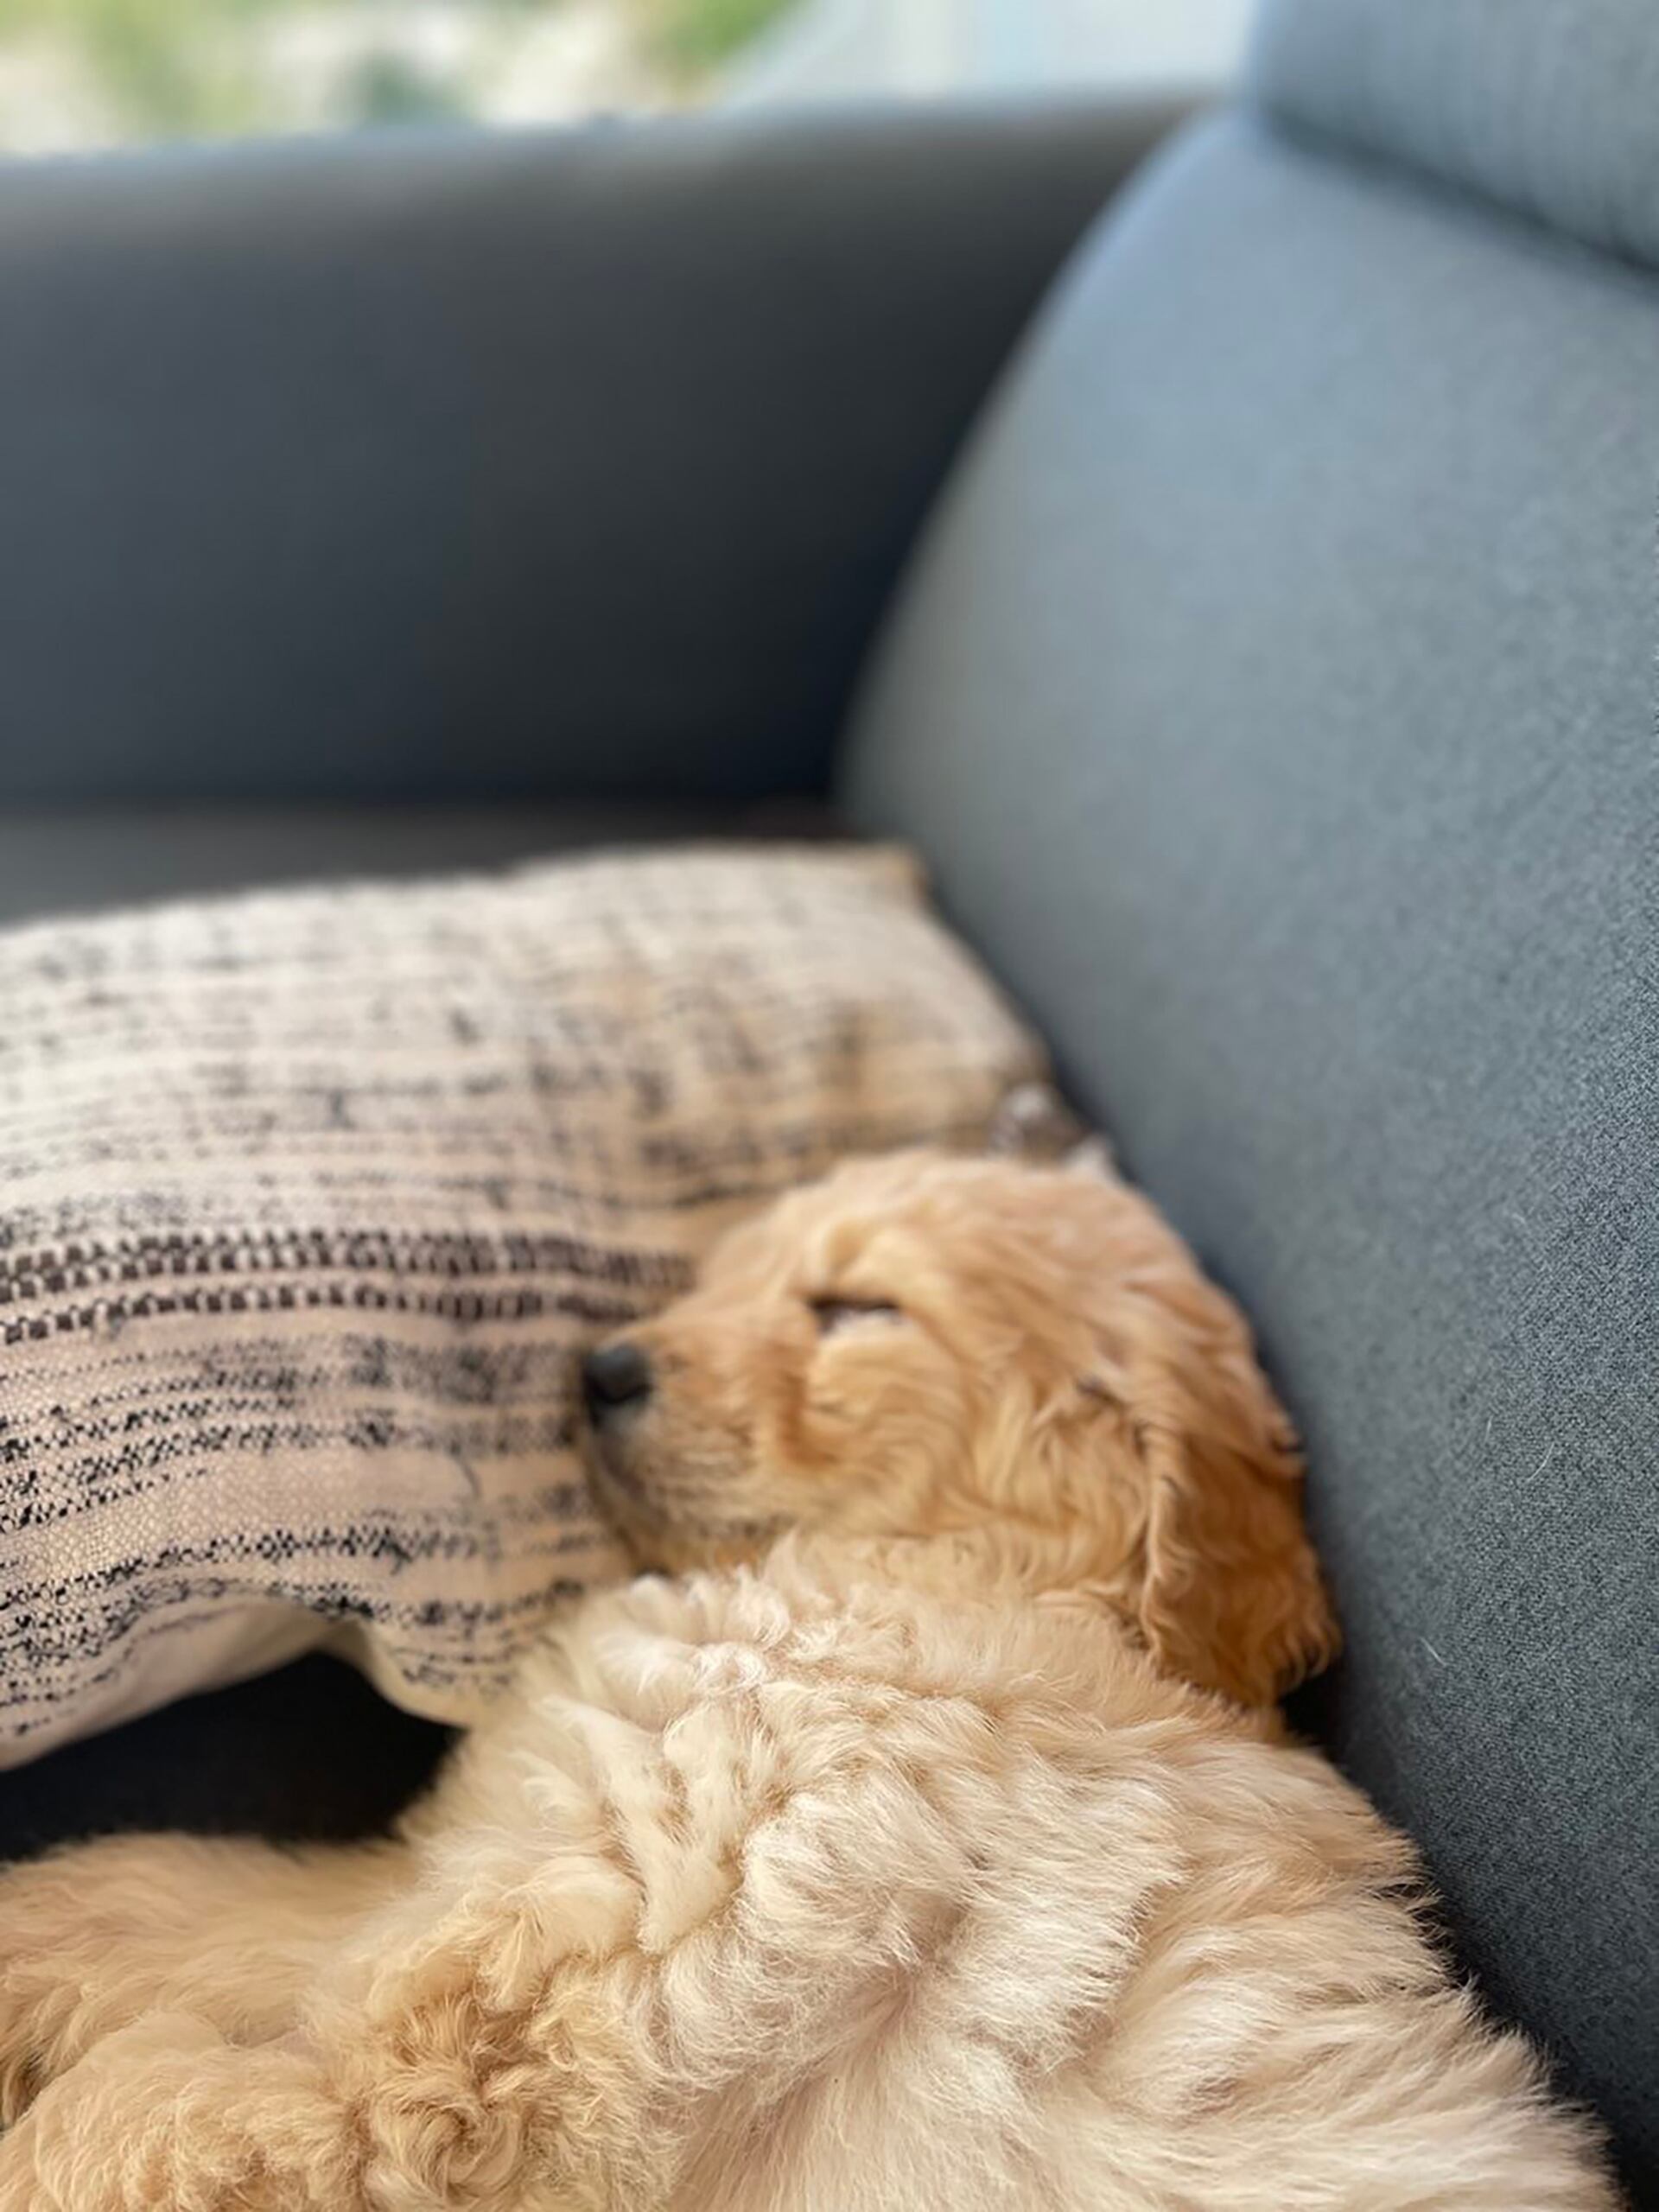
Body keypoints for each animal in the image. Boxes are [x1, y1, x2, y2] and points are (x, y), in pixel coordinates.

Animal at [0, 1159, 1618, 2212]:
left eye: (855, 1309)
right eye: (727, 1275)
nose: (599, 1370)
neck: (927, 1575)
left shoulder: (488, 2052)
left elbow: (127, 2120)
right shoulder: (485, 1884)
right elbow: (168, 1902)